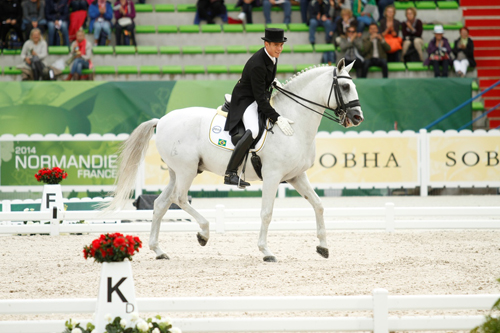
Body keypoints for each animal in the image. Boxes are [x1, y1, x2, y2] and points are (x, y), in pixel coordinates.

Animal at [104, 59, 364, 262]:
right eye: (345, 86)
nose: (357, 117)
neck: (294, 123)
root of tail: (162, 120)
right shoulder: (273, 176)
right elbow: (267, 213)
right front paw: (266, 251)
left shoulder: (296, 176)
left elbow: (318, 204)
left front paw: (323, 247)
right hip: (187, 170)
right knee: (180, 199)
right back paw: (203, 233)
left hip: (176, 172)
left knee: (160, 204)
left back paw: (159, 251)